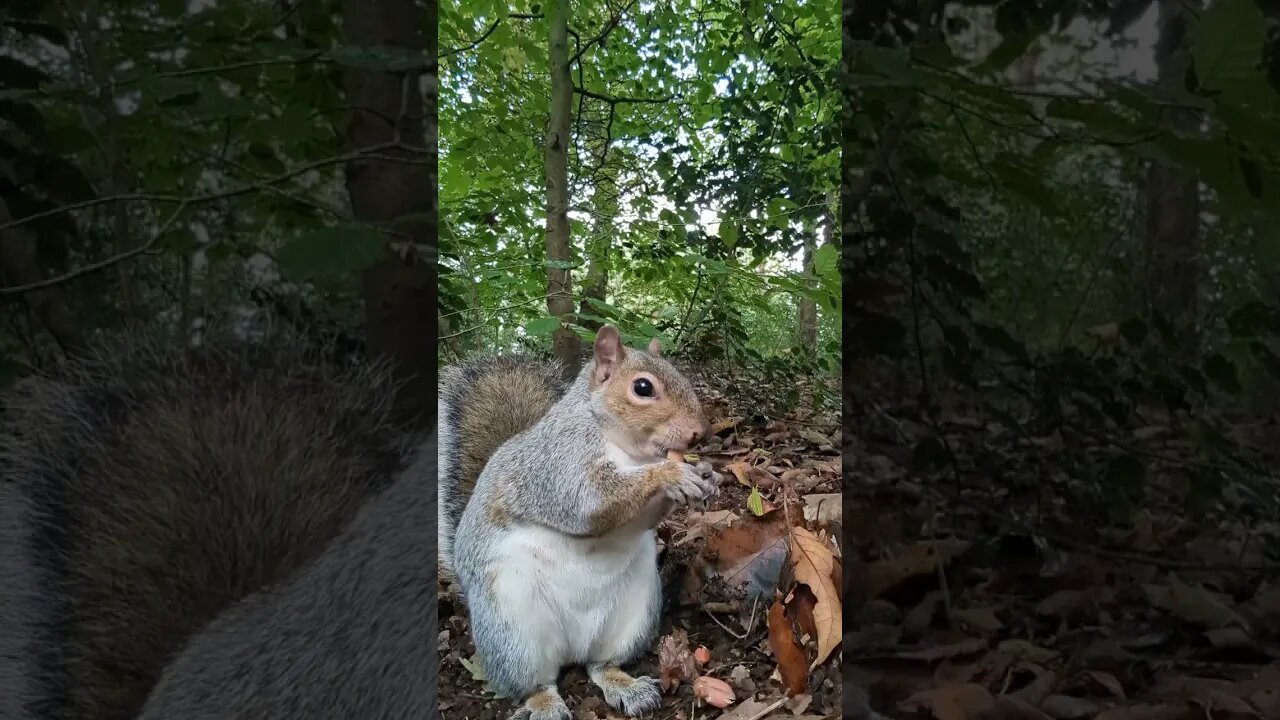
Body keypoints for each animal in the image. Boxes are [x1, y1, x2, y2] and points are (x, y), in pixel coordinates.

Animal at [440, 325, 721, 717]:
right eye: (643, 387)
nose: (700, 432)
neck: (629, 452)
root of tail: (572, 648)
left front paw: (706, 474)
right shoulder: (560, 463)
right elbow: (590, 502)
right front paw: (671, 474)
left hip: (633, 616)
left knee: (600, 666)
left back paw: (628, 687)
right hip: (512, 631)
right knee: (534, 682)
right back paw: (545, 705)